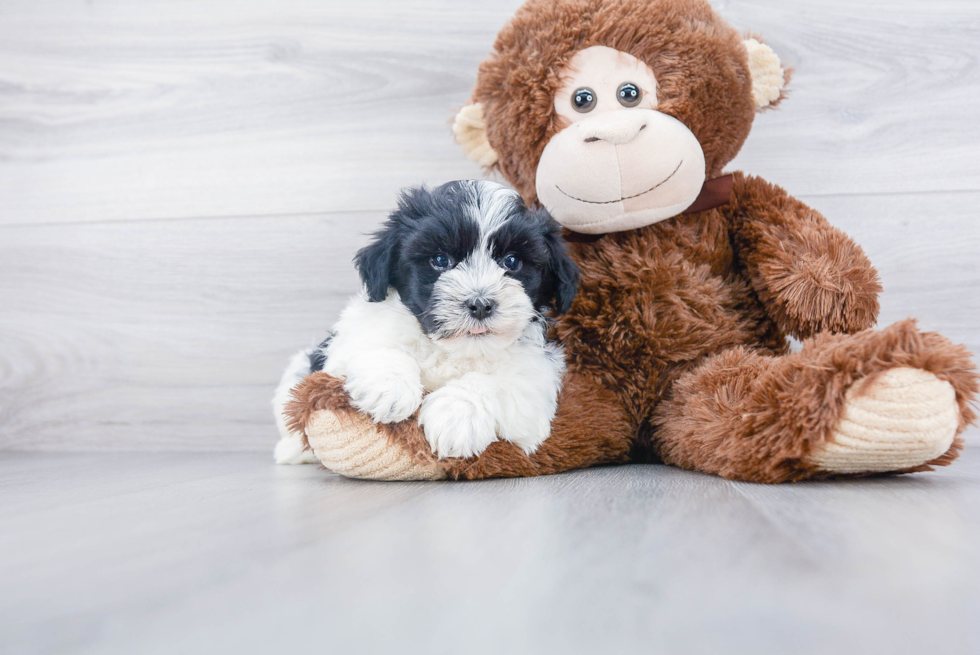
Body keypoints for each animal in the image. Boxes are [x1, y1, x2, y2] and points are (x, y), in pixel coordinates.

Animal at [272, 179, 580, 464]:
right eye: (440, 260)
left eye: (512, 262)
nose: (480, 304)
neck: (454, 350)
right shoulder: (353, 337)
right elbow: (375, 344)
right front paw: (389, 385)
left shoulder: (535, 379)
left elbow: (496, 384)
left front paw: (456, 415)